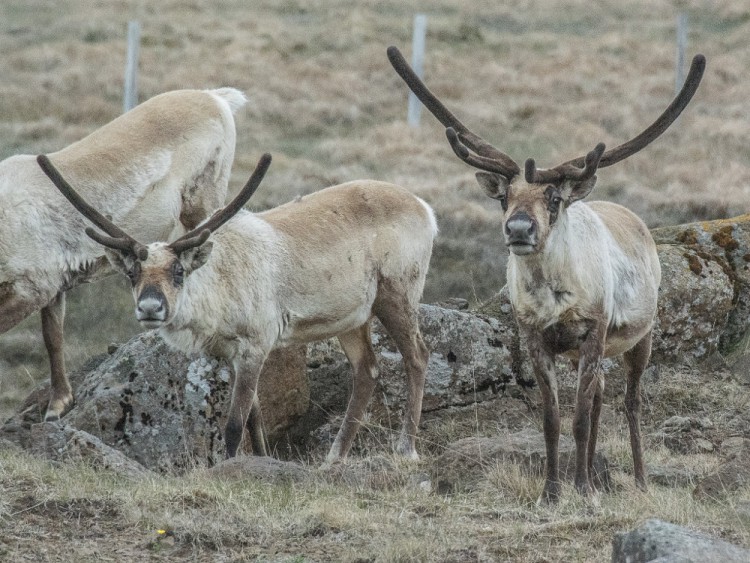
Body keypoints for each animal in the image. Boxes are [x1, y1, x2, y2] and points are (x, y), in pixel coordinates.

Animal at [0, 87, 247, 422]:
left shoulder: (31, 286)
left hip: (204, 201)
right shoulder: (52, 284)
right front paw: (58, 404)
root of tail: (215, 96)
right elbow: (53, 337)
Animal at [37, 151, 437, 463]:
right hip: (352, 317)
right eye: (132, 273)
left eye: (178, 271)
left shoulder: (256, 344)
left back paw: (406, 449)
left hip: (397, 292)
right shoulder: (229, 353)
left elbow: (233, 424)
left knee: (417, 355)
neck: (218, 288)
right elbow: (254, 417)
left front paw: (231, 468)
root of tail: (426, 209)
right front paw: (260, 459)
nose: (150, 307)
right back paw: (334, 457)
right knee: (367, 369)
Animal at [388, 45, 706, 502]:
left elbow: (578, 417)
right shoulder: (536, 337)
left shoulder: (594, 331)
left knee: (631, 401)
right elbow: (553, 419)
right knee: (600, 396)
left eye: (553, 198)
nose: (519, 229)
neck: (554, 294)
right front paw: (554, 491)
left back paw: (639, 480)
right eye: (504, 197)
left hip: (640, 336)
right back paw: (593, 477)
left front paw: (580, 488)